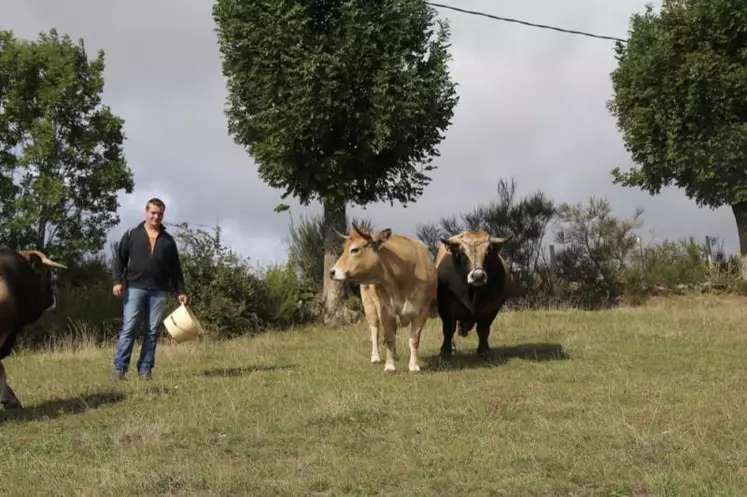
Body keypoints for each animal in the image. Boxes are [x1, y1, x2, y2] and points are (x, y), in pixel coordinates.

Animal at [328, 225, 438, 372]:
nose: (332, 272)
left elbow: (414, 339)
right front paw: (390, 366)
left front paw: (414, 365)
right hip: (370, 308)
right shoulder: (385, 310)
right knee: (375, 332)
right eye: (344, 249)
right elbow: (389, 338)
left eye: (355, 249)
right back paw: (376, 357)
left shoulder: (422, 311)